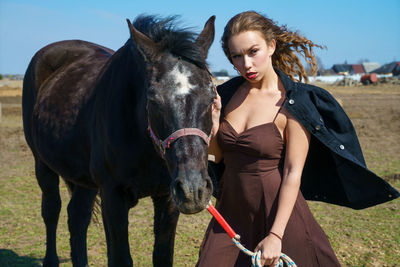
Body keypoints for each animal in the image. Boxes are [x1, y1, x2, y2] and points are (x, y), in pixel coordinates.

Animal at [21, 15, 216, 267]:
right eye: (153, 98)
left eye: (211, 95)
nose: (194, 190)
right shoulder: (113, 197)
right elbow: (120, 258)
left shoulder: (168, 198)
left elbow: (162, 256)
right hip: (43, 164)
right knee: (51, 210)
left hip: (85, 179)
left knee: (77, 217)